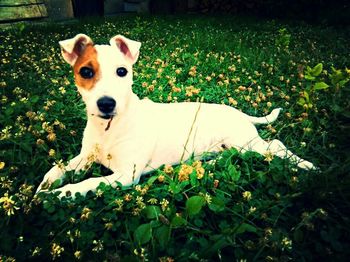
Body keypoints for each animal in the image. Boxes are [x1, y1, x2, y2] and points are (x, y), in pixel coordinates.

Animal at [36, 33, 318, 198]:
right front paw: (44, 186)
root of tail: (240, 113)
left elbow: (86, 184)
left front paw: (57, 195)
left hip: (245, 142)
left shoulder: (126, 174)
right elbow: (58, 167)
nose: (106, 104)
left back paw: (305, 165)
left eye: (121, 71)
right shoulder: (85, 157)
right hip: (232, 147)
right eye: (85, 72)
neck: (110, 128)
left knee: (275, 145)